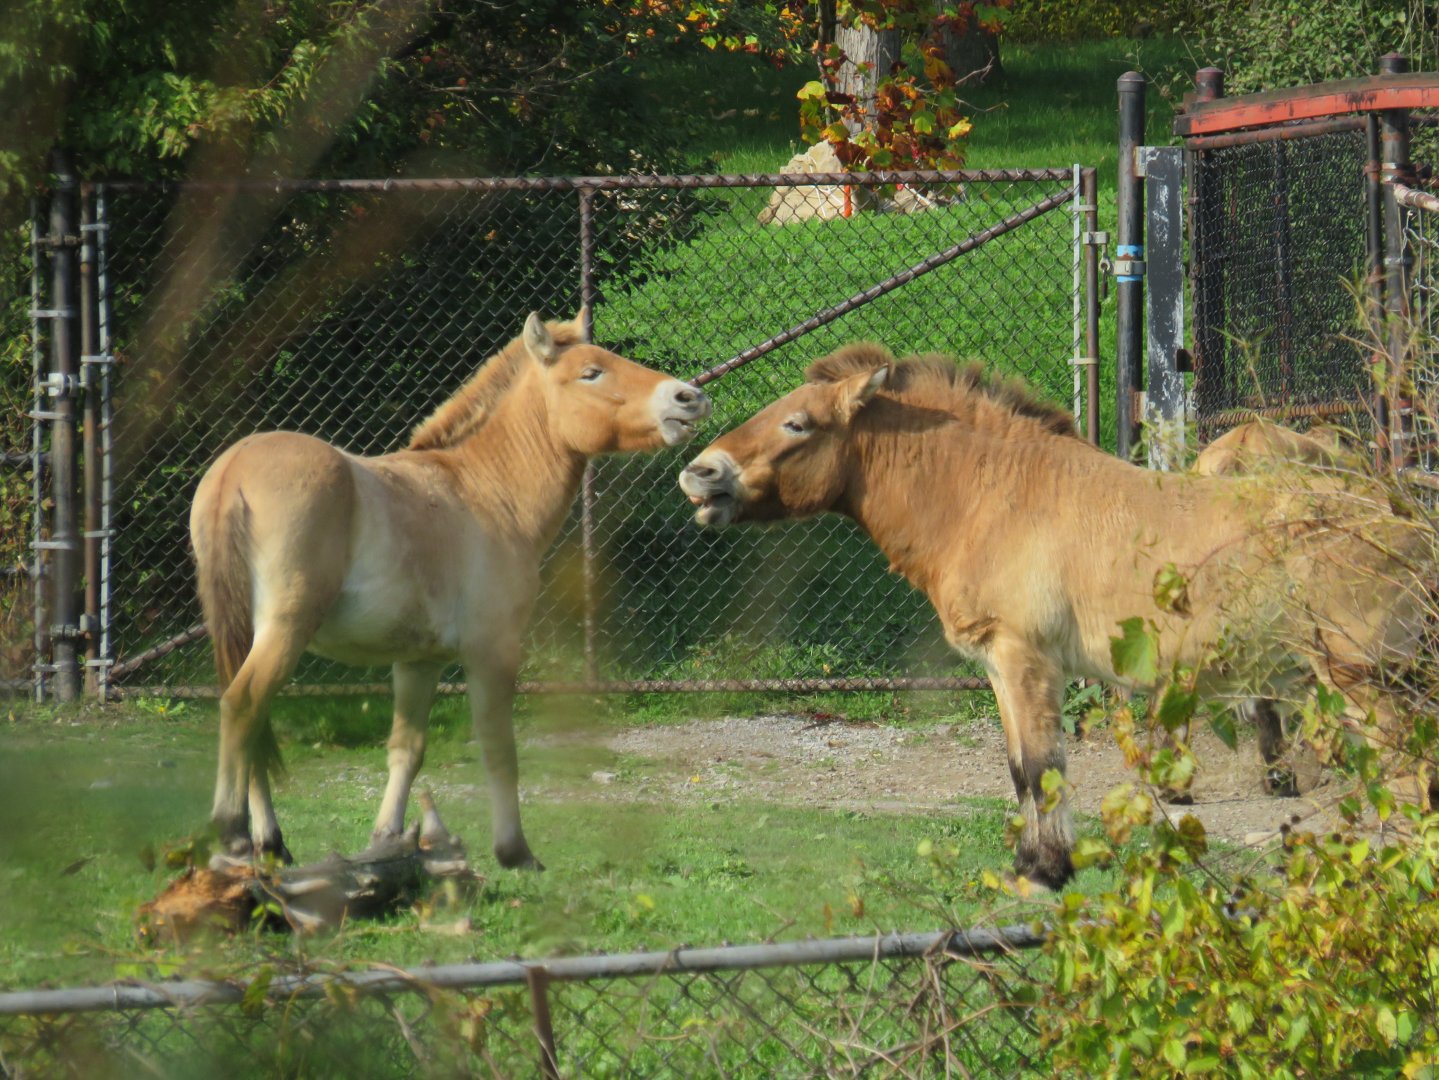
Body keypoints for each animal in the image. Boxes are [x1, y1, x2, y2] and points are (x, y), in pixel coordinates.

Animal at [191, 312, 710, 869]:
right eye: (591, 372)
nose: (689, 398)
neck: (482, 491)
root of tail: (234, 469)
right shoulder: (492, 652)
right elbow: (499, 749)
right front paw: (515, 852)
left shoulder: (419, 661)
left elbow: (407, 749)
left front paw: (386, 840)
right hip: (285, 629)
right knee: (243, 705)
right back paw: (238, 834)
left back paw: (271, 844)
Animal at [679, 343, 1425, 888]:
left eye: (797, 424)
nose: (698, 473)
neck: (993, 495)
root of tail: (1399, 512)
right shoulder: (1001, 667)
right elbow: (1019, 770)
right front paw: (1033, 866)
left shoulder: (1023, 658)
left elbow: (1041, 767)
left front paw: (1044, 873)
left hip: (1363, 687)